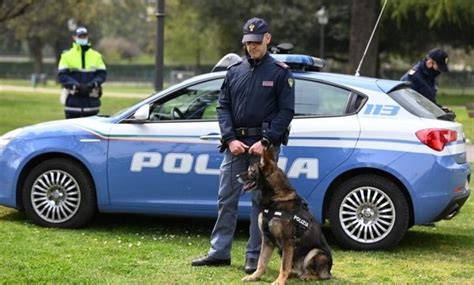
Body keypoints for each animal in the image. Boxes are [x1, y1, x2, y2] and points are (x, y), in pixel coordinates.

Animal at [239, 143, 332, 282]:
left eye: (251, 169)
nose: (236, 176)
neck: (276, 198)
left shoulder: (287, 241)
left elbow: (284, 266)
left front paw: (279, 281)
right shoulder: (267, 240)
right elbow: (261, 262)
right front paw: (254, 276)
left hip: (315, 253)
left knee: (319, 275)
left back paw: (307, 276)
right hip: (283, 251)